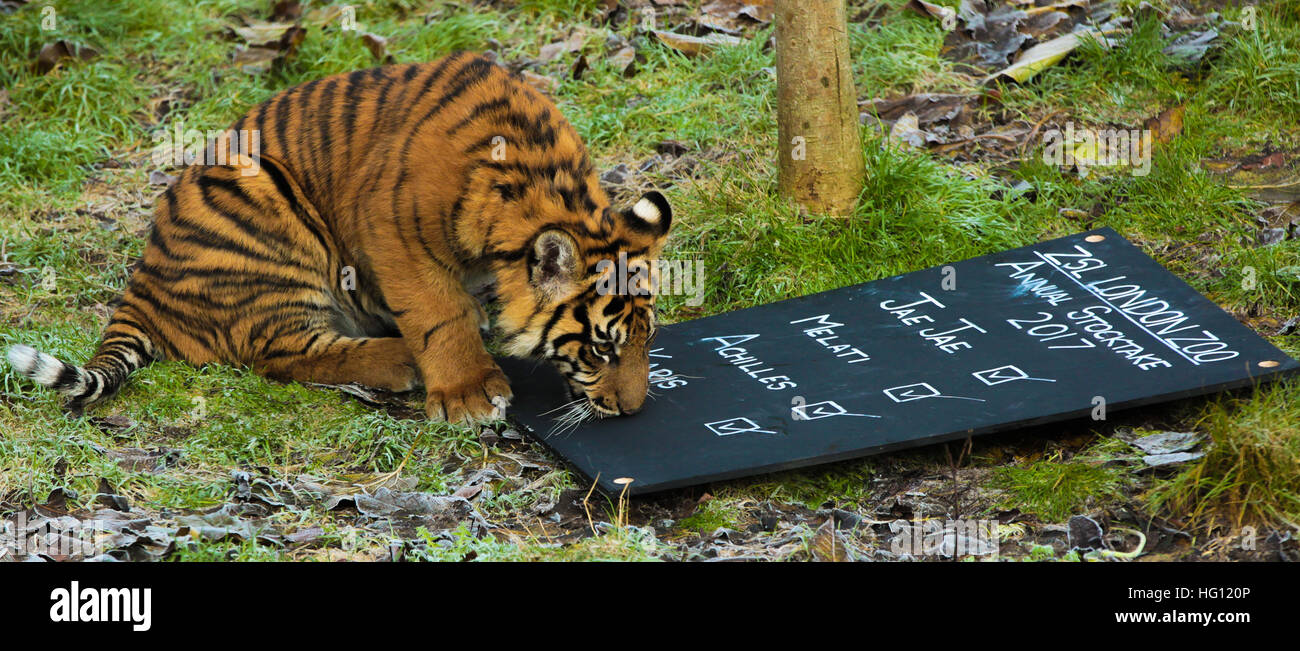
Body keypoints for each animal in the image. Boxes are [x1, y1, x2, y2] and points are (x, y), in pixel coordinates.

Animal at [2, 53, 670, 423]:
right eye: (600, 350)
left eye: (648, 343)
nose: (633, 410)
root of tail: (141, 282)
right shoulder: (392, 229)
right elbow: (439, 312)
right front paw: (467, 393)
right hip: (270, 218)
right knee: (281, 352)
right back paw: (400, 359)